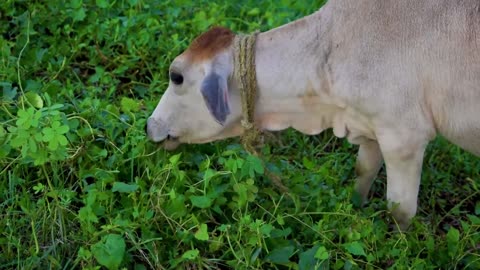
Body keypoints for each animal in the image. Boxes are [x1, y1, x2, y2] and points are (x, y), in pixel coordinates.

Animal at [146, 0, 480, 229]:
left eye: (176, 76)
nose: (150, 126)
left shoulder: (405, 138)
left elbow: (400, 210)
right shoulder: (370, 125)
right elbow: (363, 170)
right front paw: (355, 208)